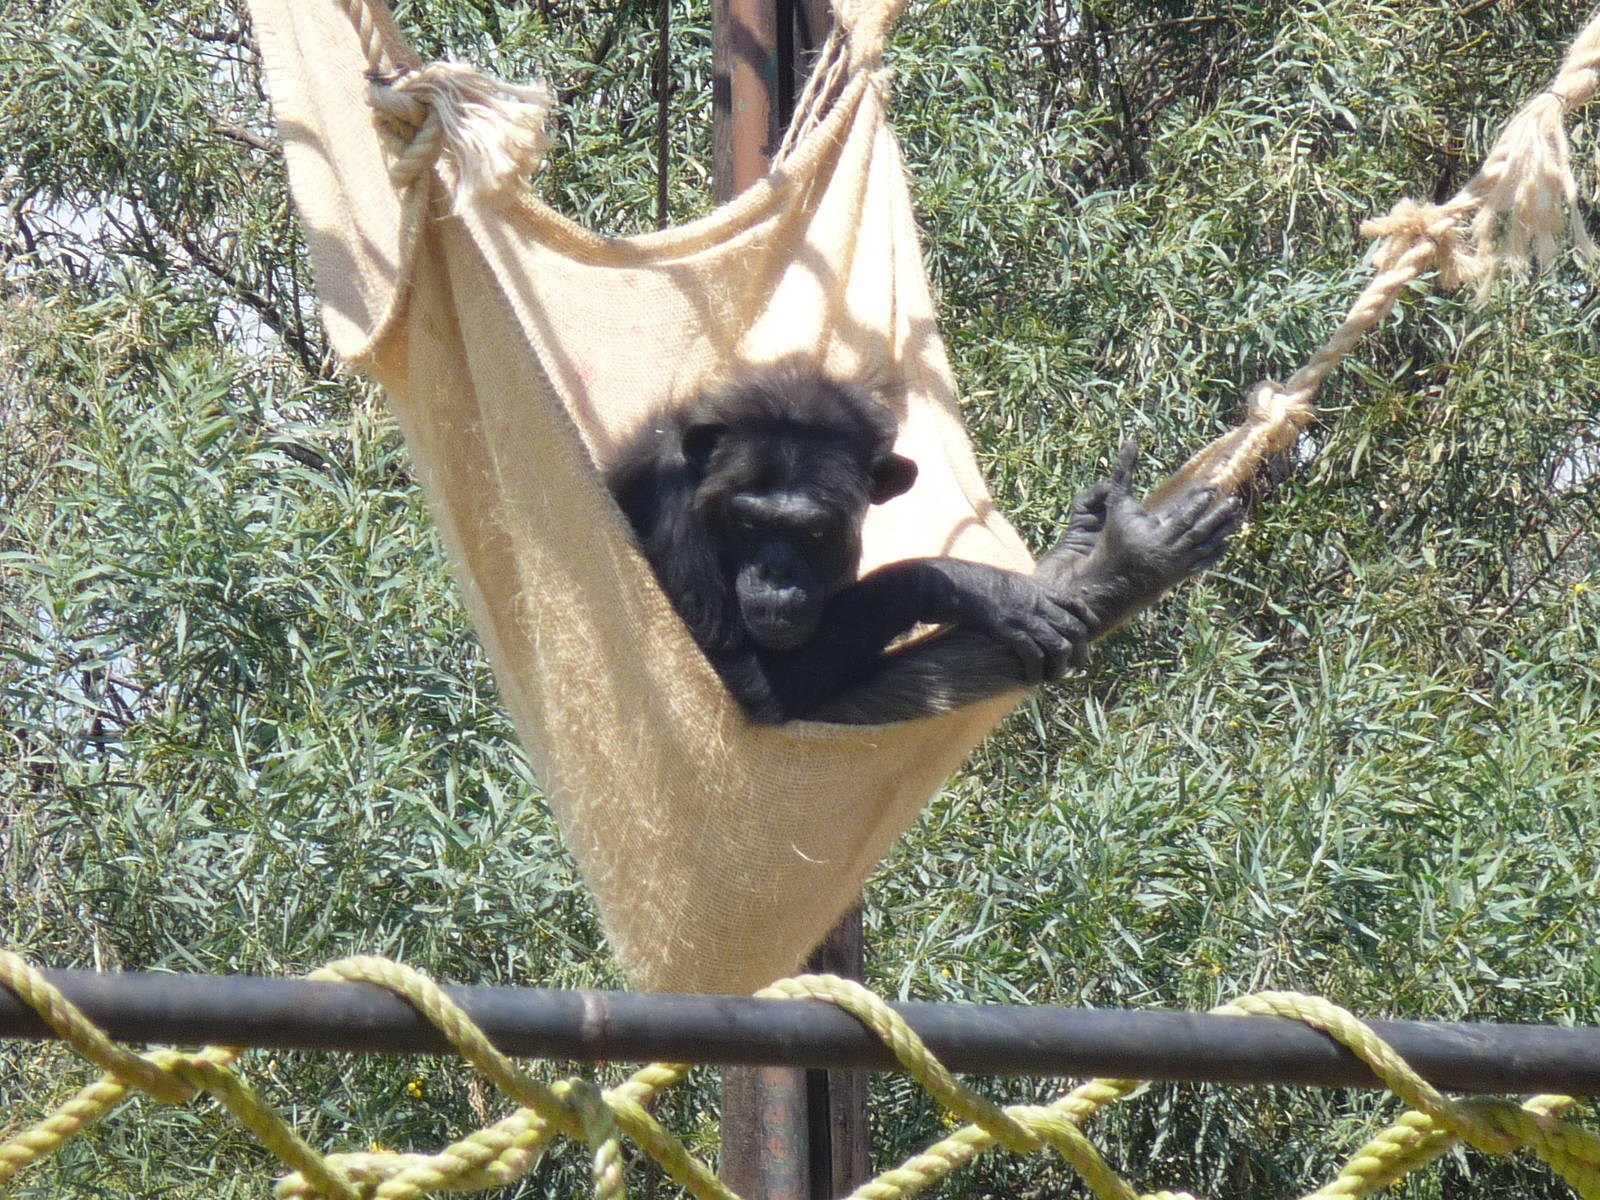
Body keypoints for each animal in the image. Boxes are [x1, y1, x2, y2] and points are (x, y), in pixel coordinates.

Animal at [606, 365, 1239, 724]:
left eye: (811, 532)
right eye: (749, 525)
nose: (776, 574)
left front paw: (1080, 548)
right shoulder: (673, 514)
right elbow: (743, 683)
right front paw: (973, 586)